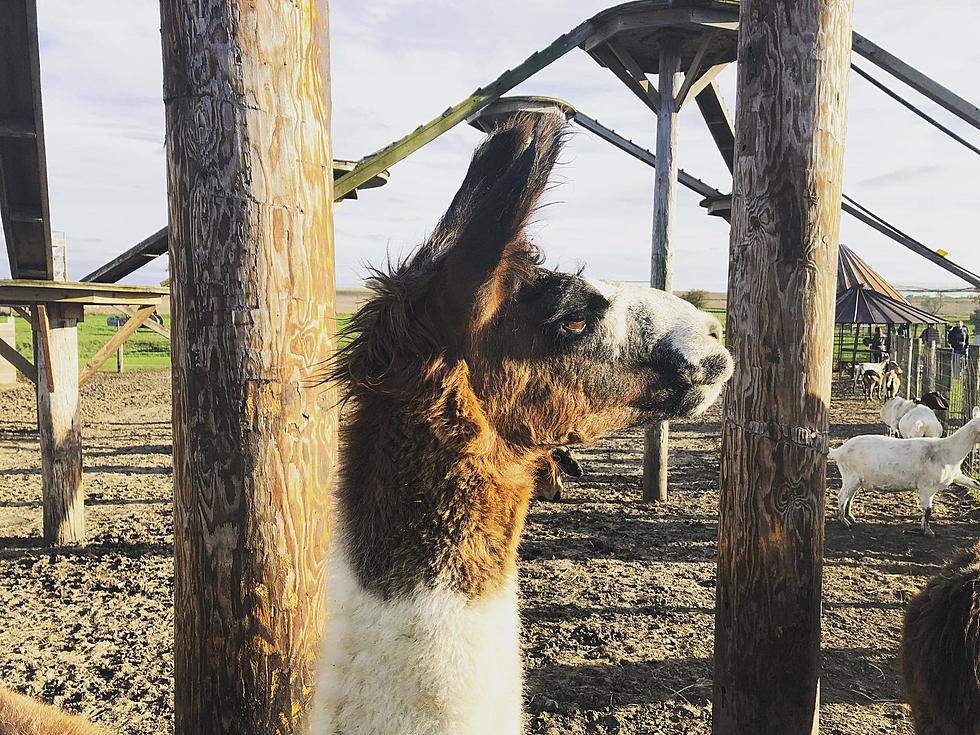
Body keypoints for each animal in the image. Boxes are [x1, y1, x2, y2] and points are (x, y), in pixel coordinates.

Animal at [828, 406, 980, 536]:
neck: (949, 451)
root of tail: (839, 451)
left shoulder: (957, 475)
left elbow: (976, 483)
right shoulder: (926, 486)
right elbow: (928, 510)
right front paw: (928, 532)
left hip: (857, 479)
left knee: (849, 496)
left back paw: (850, 516)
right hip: (850, 476)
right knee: (842, 496)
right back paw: (844, 522)